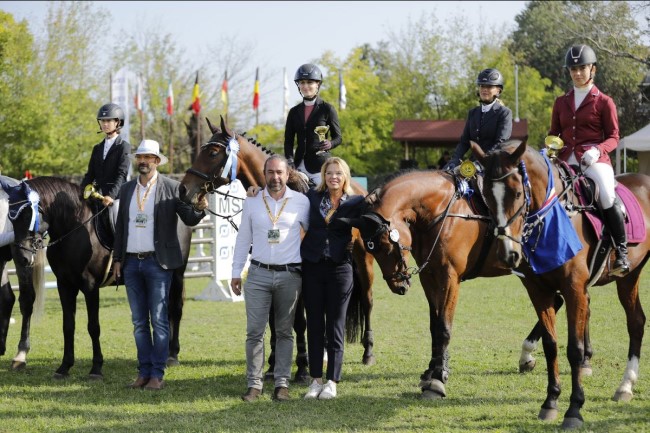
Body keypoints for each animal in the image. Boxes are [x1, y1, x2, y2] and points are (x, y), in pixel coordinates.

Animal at [9, 176, 194, 378]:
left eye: (28, 216)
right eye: (11, 219)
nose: (22, 258)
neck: (74, 228)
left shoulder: (90, 287)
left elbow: (93, 327)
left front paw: (96, 368)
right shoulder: (64, 285)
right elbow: (68, 326)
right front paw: (64, 367)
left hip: (176, 274)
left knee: (176, 309)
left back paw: (172, 355)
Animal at [178, 116, 377, 372]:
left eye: (212, 153)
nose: (183, 189)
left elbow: (298, 320)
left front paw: (301, 365)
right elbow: (273, 318)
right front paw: (273, 364)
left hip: (364, 261)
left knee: (368, 301)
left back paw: (367, 352)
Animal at [471, 140, 648, 428]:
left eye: (517, 193)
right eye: (485, 194)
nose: (508, 254)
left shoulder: (573, 287)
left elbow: (574, 350)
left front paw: (574, 409)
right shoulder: (538, 290)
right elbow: (551, 345)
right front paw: (550, 402)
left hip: (629, 276)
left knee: (635, 322)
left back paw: (625, 385)